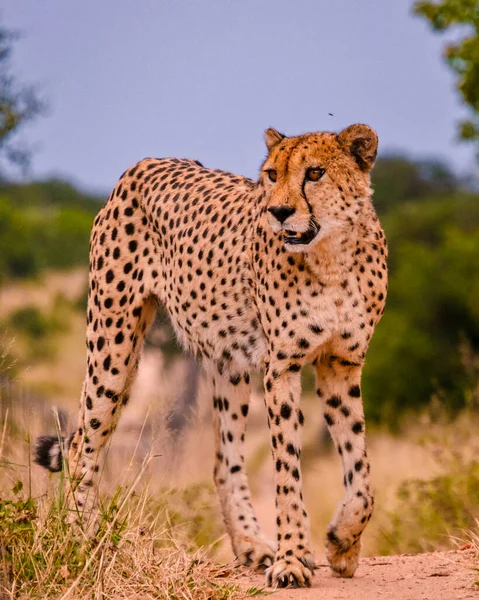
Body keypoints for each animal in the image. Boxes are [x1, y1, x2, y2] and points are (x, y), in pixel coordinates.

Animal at [36, 124, 390, 588]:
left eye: (315, 173)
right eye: (272, 174)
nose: (279, 212)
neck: (332, 255)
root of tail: (147, 162)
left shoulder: (341, 364)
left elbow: (361, 468)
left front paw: (342, 543)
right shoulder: (282, 366)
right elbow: (287, 471)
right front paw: (293, 560)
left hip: (229, 361)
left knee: (226, 462)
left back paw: (253, 546)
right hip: (114, 345)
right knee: (82, 443)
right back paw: (81, 541)